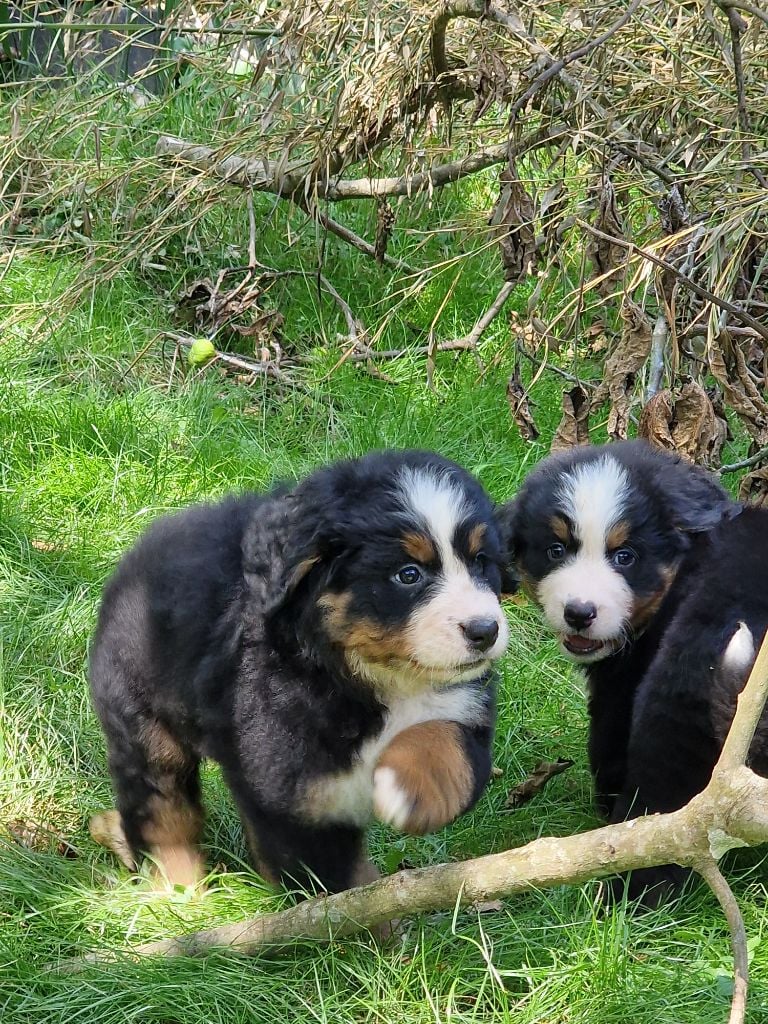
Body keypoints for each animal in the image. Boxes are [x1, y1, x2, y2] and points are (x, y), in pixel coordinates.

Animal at [91, 452, 512, 892]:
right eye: (408, 574)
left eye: (481, 562)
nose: (485, 630)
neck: (373, 678)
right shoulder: (291, 790)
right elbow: (329, 880)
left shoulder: (465, 708)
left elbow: (450, 745)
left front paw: (416, 790)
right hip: (142, 721)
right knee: (161, 807)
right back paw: (180, 888)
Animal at [495, 440, 765, 905]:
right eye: (556, 550)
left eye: (625, 557)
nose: (579, 612)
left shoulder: (623, 682)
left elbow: (609, 736)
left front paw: (606, 803)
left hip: (676, 697)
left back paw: (629, 892)